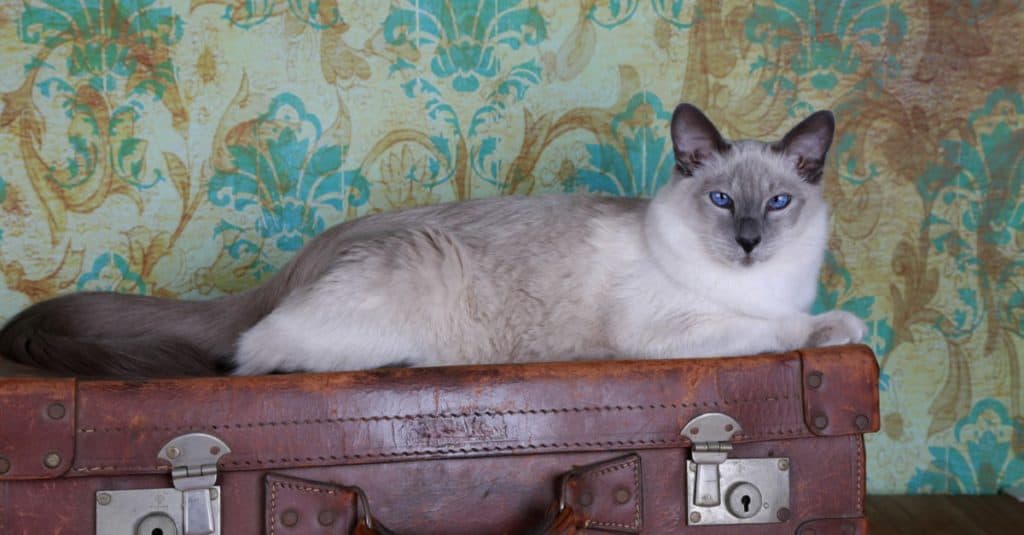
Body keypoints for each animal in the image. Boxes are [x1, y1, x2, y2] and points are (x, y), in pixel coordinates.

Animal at [0, 100, 864, 375]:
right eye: (721, 199)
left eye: (777, 203)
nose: (748, 242)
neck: (762, 282)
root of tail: (305, 256)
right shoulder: (670, 330)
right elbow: (773, 330)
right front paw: (840, 327)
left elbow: (793, 319)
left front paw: (834, 320)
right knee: (252, 352)